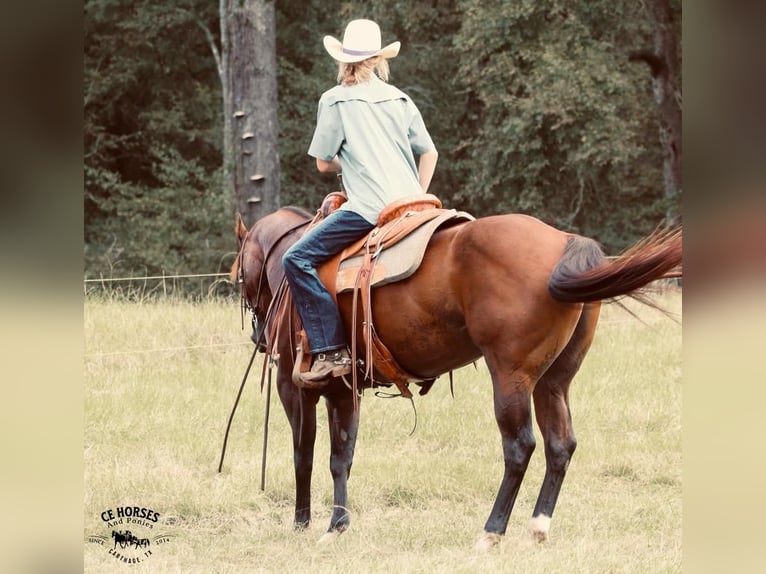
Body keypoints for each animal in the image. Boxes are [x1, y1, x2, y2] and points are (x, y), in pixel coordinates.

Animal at [230, 205, 684, 552]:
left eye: (239, 275)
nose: (258, 337)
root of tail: (565, 242)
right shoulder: (344, 391)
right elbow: (341, 458)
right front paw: (336, 526)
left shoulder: (294, 387)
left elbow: (303, 454)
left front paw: (302, 522)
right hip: (552, 383)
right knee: (560, 445)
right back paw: (537, 527)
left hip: (511, 378)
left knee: (520, 447)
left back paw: (491, 531)